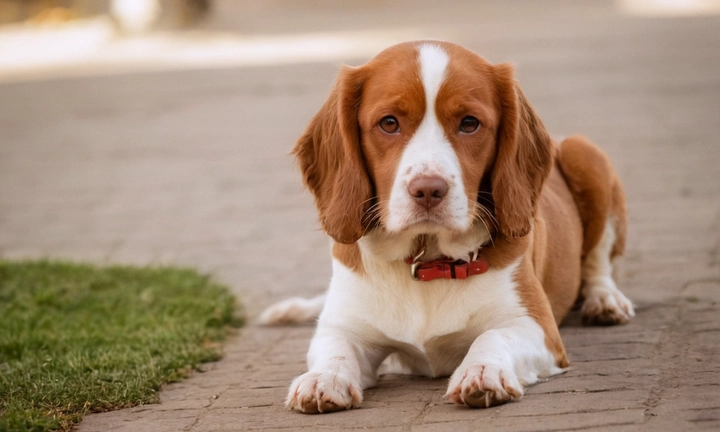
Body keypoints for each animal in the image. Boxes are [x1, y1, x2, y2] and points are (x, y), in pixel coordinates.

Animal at [260, 41, 636, 416]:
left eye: (469, 123)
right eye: (389, 123)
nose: (428, 189)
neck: (427, 260)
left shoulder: (537, 327)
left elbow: (492, 336)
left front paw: (482, 370)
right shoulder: (342, 327)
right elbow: (336, 347)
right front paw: (322, 378)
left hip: (585, 153)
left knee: (599, 265)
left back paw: (605, 301)